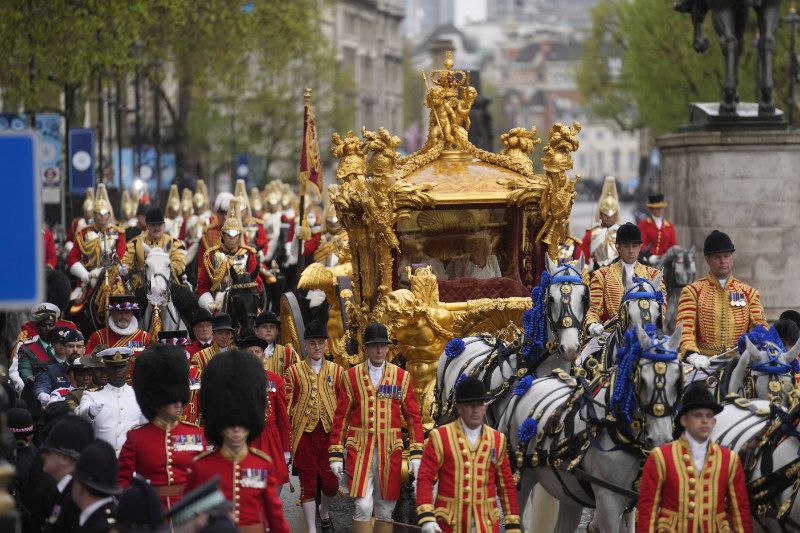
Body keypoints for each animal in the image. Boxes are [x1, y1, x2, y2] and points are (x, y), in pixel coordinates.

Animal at [506, 324, 680, 532]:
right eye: (641, 380)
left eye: (678, 380)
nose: (661, 438)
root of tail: (530, 382)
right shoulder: (608, 501)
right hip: (521, 478)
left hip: (569, 494)